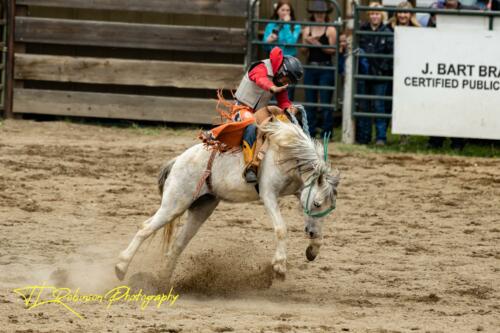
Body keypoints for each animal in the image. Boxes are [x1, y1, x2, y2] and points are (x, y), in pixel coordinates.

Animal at [114, 120, 340, 282]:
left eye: (330, 208)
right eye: (317, 203)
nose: (310, 234)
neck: (286, 153)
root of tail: (177, 160)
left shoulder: (299, 191)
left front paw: (313, 248)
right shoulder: (268, 194)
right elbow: (281, 228)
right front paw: (279, 267)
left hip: (202, 208)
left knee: (178, 243)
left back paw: (163, 281)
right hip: (175, 204)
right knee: (145, 228)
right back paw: (121, 267)